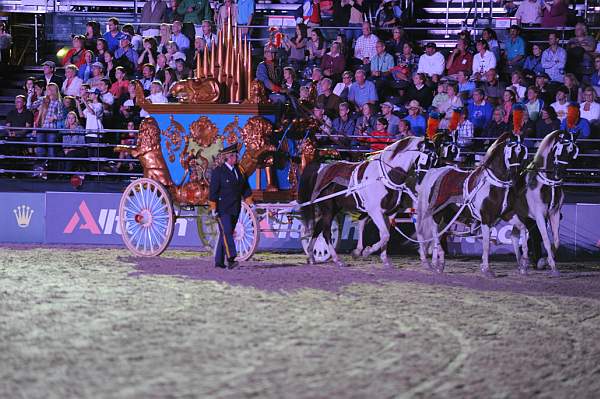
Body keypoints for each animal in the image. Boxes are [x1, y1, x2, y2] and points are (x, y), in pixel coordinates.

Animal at [414, 133, 528, 276]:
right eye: (511, 151)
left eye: (522, 151)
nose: (516, 175)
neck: (494, 185)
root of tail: (435, 172)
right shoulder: (486, 218)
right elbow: (486, 244)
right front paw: (486, 269)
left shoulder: (507, 214)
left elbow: (523, 228)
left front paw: (523, 264)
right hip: (437, 212)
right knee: (434, 232)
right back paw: (437, 260)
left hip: (447, 215)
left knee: (438, 233)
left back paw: (437, 264)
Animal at [504, 131, 580, 278]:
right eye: (559, 149)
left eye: (572, 152)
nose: (559, 173)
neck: (547, 184)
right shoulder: (538, 216)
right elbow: (545, 240)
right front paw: (553, 267)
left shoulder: (554, 214)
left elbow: (556, 241)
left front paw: (543, 261)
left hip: (520, 217)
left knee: (515, 236)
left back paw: (522, 264)